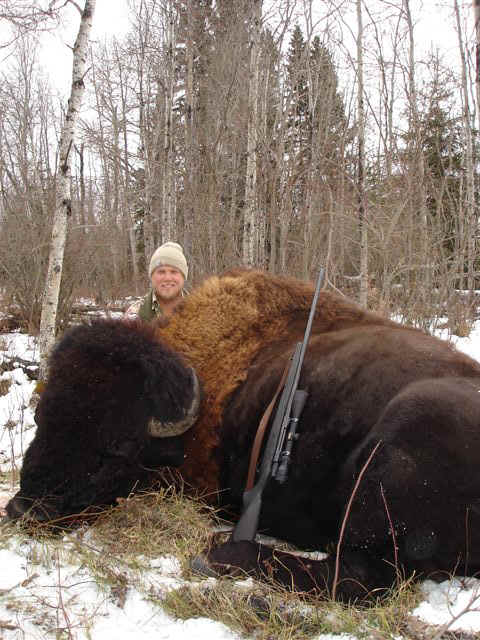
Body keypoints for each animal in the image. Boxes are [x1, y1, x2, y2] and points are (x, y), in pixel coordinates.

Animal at [6, 269, 480, 601]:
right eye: (42, 418)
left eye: (115, 449)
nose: (23, 510)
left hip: (395, 443)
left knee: (360, 577)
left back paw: (217, 552)